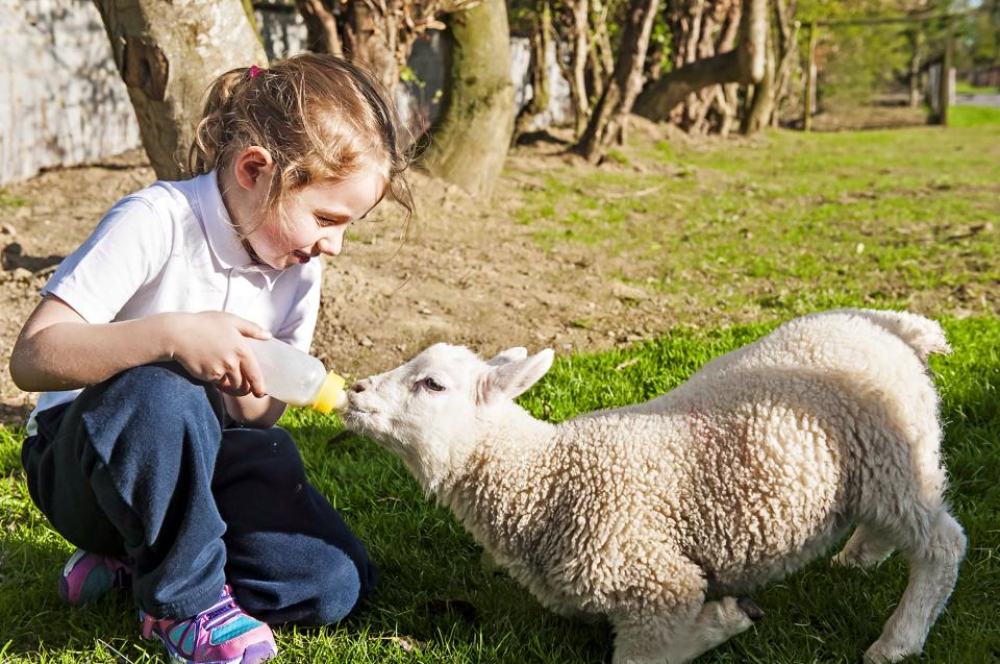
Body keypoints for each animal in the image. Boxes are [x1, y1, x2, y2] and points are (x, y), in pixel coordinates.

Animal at [342, 308, 966, 664]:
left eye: (432, 384)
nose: (353, 390)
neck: (545, 478)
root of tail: (891, 328)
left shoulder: (654, 580)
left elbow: (647, 655)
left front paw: (724, 621)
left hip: (892, 453)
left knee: (941, 543)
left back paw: (896, 642)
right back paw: (857, 559)